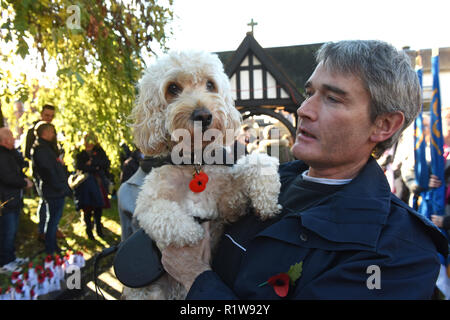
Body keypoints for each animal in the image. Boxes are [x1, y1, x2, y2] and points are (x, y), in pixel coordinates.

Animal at [123, 50, 282, 300]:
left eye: (210, 84)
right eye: (173, 88)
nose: (203, 115)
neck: (194, 163)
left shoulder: (230, 206)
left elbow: (255, 163)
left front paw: (267, 201)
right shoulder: (147, 205)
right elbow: (165, 214)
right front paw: (192, 232)